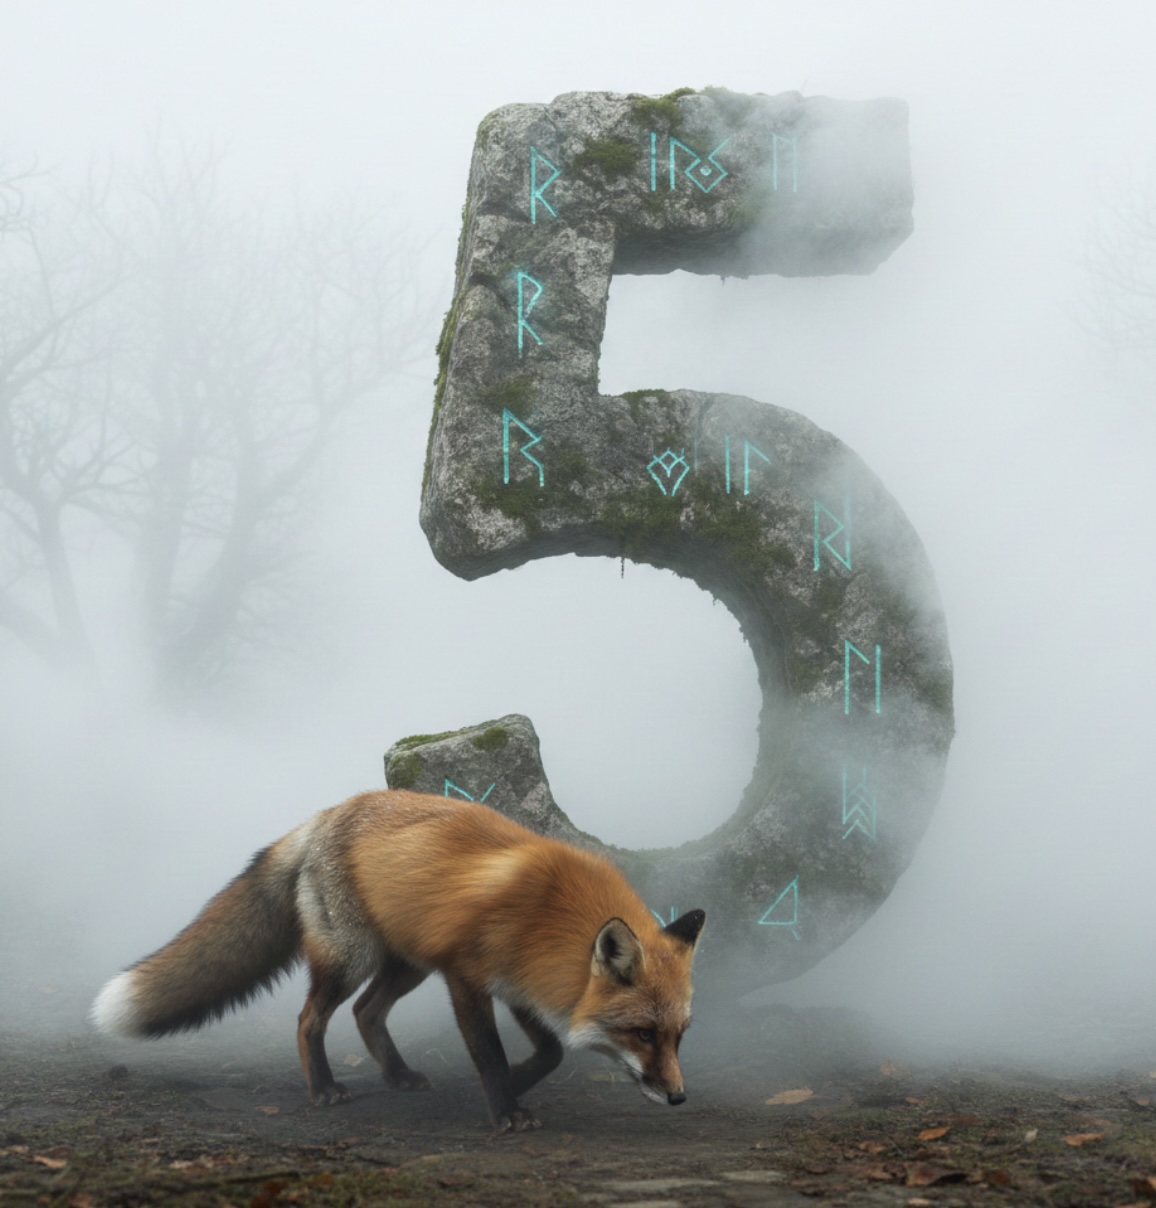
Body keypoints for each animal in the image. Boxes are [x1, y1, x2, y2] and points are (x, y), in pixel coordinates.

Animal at [91, 789, 705, 1132]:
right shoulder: (466, 977)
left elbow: (550, 1052)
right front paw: (506, 1109)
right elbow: (489, 1053)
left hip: (408, 962)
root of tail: (325, 814)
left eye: (679, 1036)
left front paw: (511, 1086)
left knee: (365, 1012)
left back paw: (398, 1074)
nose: (679, 1097)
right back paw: (323, 1089)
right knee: (310, 1018)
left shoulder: (519, 986)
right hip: (354, 956)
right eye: (643, 1034)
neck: (548, 915)